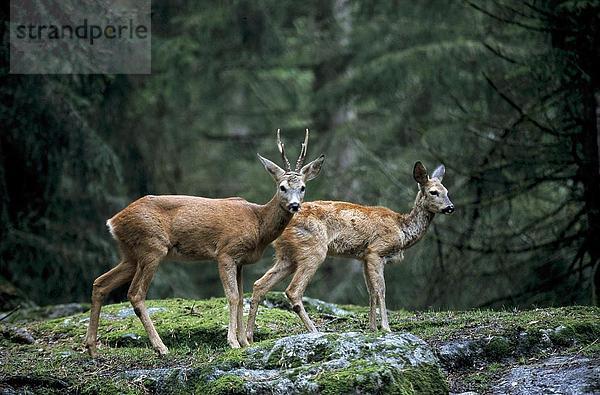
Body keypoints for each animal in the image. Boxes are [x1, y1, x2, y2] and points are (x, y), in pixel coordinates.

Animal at [84, 131, 324, 358]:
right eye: (282, 187)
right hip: (152, 247)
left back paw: (92, 348)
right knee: (135, 293)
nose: (294, 205)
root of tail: (113, 222)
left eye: (303, 187)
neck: (258, 222)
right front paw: (233, 342)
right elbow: (232, 296)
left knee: (100, 283)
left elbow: (241, 298)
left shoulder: (241, 261)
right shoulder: (226, 252)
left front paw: (244, 342)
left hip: (130, 254)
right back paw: (160, 347)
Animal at [246, 162, 452, 344]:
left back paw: (249, 337)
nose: (450, 207)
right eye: (433, 192)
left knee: (260, 284)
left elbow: (371, 292)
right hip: (313, 250)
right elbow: (381, 289)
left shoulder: (363, 257)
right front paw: (386, 328)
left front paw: (372, 328)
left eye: (447, 192)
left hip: (287, 256)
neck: (402, 229)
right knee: (293, 290)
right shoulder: (377, 251)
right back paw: (314, 330)